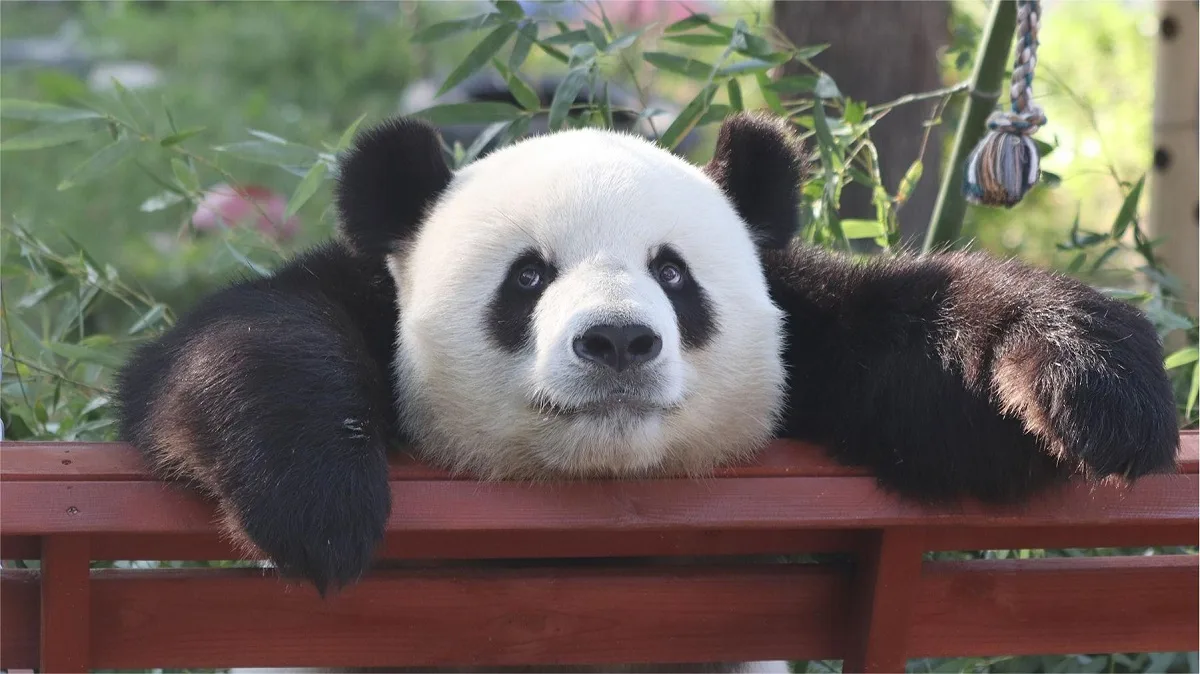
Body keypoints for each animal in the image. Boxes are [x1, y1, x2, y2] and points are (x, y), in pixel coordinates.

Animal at [114, 112, 1179, 673]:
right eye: (527, 277)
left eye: (673, 274)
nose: (618, 341)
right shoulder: (361, 307)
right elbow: (234, 346)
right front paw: (318, 501)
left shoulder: (817, 342)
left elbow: (929, 360)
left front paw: (1092, 385)